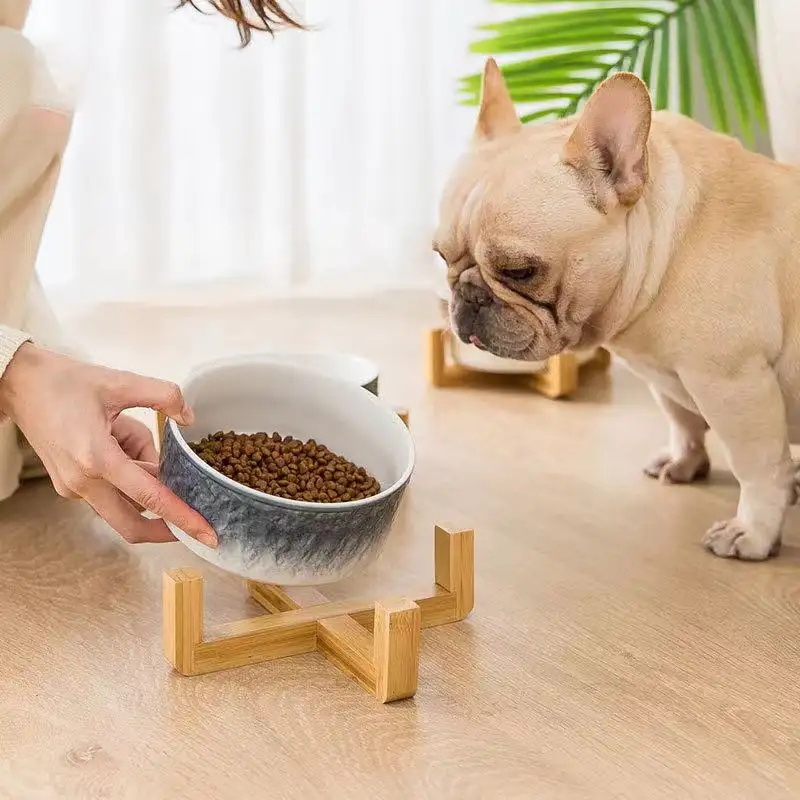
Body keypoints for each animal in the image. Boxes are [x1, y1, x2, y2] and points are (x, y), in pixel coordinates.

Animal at [434, 59, 800, 564]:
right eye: (442, 257)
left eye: (521, 271)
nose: (467, 297)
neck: (670, 242)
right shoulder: (665, 376)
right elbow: (682, 419)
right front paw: (684, 461)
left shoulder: (733, 384)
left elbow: (757, 466)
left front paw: (754, 531)